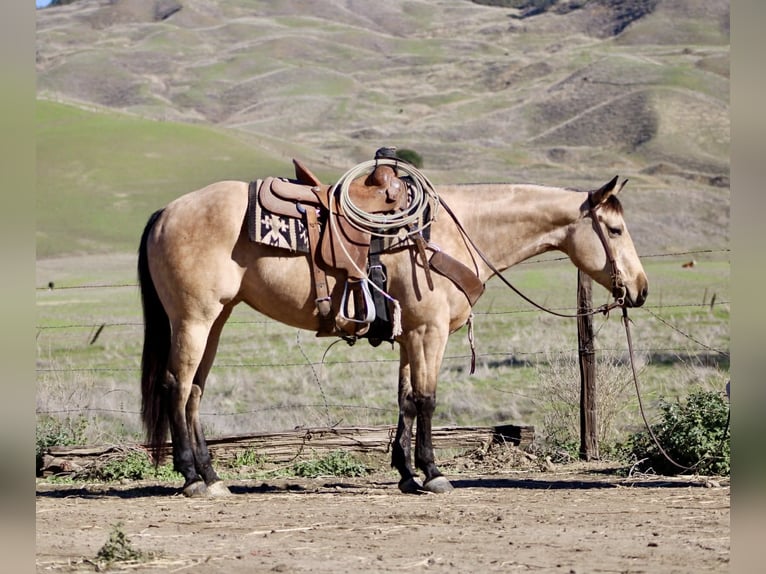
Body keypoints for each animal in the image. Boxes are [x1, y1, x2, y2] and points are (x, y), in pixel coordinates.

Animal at [138, 165, 648, 497]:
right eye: (615, 230)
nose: (641, 289)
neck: (450, 233)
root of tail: (165, 213)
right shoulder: (429, 333)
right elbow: (426, 399)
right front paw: (433, 473)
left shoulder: (410, 336)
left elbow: (404, 400)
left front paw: (405, 473)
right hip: (194, 319)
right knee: (175, 385)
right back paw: (191, 478)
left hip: (216, 319)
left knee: (194, 391)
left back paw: (212, 477)